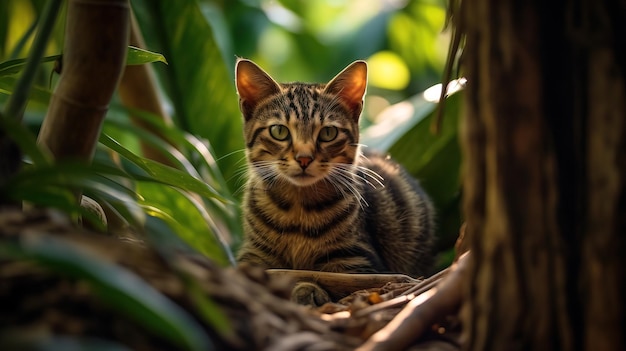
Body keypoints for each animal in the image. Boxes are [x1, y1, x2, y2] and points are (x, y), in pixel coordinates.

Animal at [232, 59, 432, 306]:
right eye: (279, 131)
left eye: (328, 133)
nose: (304, 158)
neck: (298, 209)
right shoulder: (252, 257)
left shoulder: (358, 262)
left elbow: (340, 283)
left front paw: (307, 289)